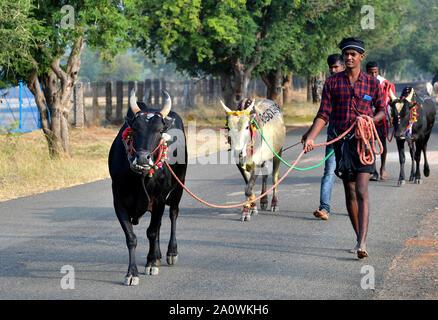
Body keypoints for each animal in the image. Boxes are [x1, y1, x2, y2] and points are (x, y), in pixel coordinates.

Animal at [108, 89, 187, 286]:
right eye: (135, 129)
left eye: (159, 131)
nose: (143, 158)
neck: (140, 178)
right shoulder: (118, 201)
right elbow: (131, 238)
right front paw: (132, 273)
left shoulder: (159, 198)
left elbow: (151, 231)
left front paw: (151, 263)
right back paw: (158, 255)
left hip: (179, 186)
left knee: (173, 214)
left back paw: (170, 252)